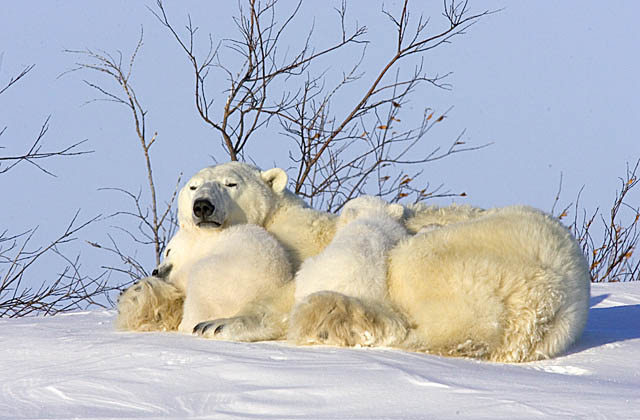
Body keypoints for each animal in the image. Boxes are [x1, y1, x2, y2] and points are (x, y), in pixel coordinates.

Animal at [116, 161, 592, 360]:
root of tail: (545, 302)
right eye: (193, 187)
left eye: (231, 183)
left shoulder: (299, 249)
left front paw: (216, 323)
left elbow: (280, 293)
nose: (203, 207)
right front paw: (142, 299)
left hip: (463, 255)